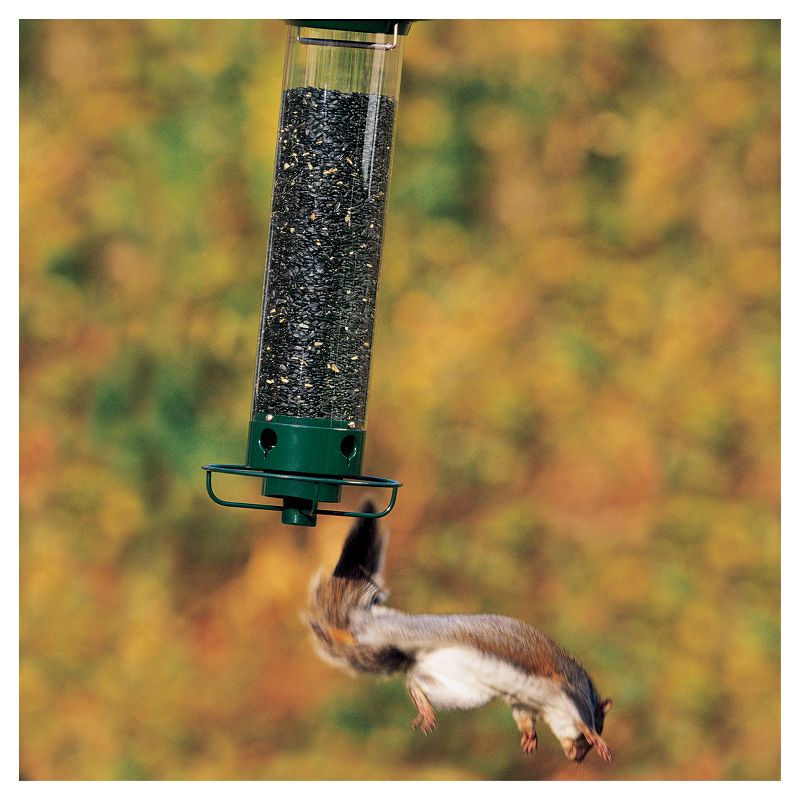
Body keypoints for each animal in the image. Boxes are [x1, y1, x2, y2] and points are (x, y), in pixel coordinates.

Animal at [306, 501, 613, 764]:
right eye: (587, 739)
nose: (576, 758)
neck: (549, 707)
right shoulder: (569, 689)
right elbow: (582, 719)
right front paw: (595, 739)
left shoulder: (523, 704)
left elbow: (525, 720)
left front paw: (529, 738)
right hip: (396, 634)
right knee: (361, 634)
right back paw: (336, 632)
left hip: (461, 691)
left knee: (415, 680)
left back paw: (423, 705)